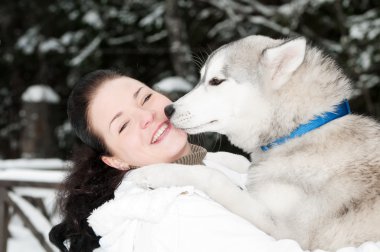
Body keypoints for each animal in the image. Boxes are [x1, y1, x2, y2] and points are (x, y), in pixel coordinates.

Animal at [127, 35, 380, 250]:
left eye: (216, 81)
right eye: (201, 78)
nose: (168, 110)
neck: (299, 131)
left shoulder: (284, 231)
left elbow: (213, 177)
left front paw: (155, 172)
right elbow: (239, 162)